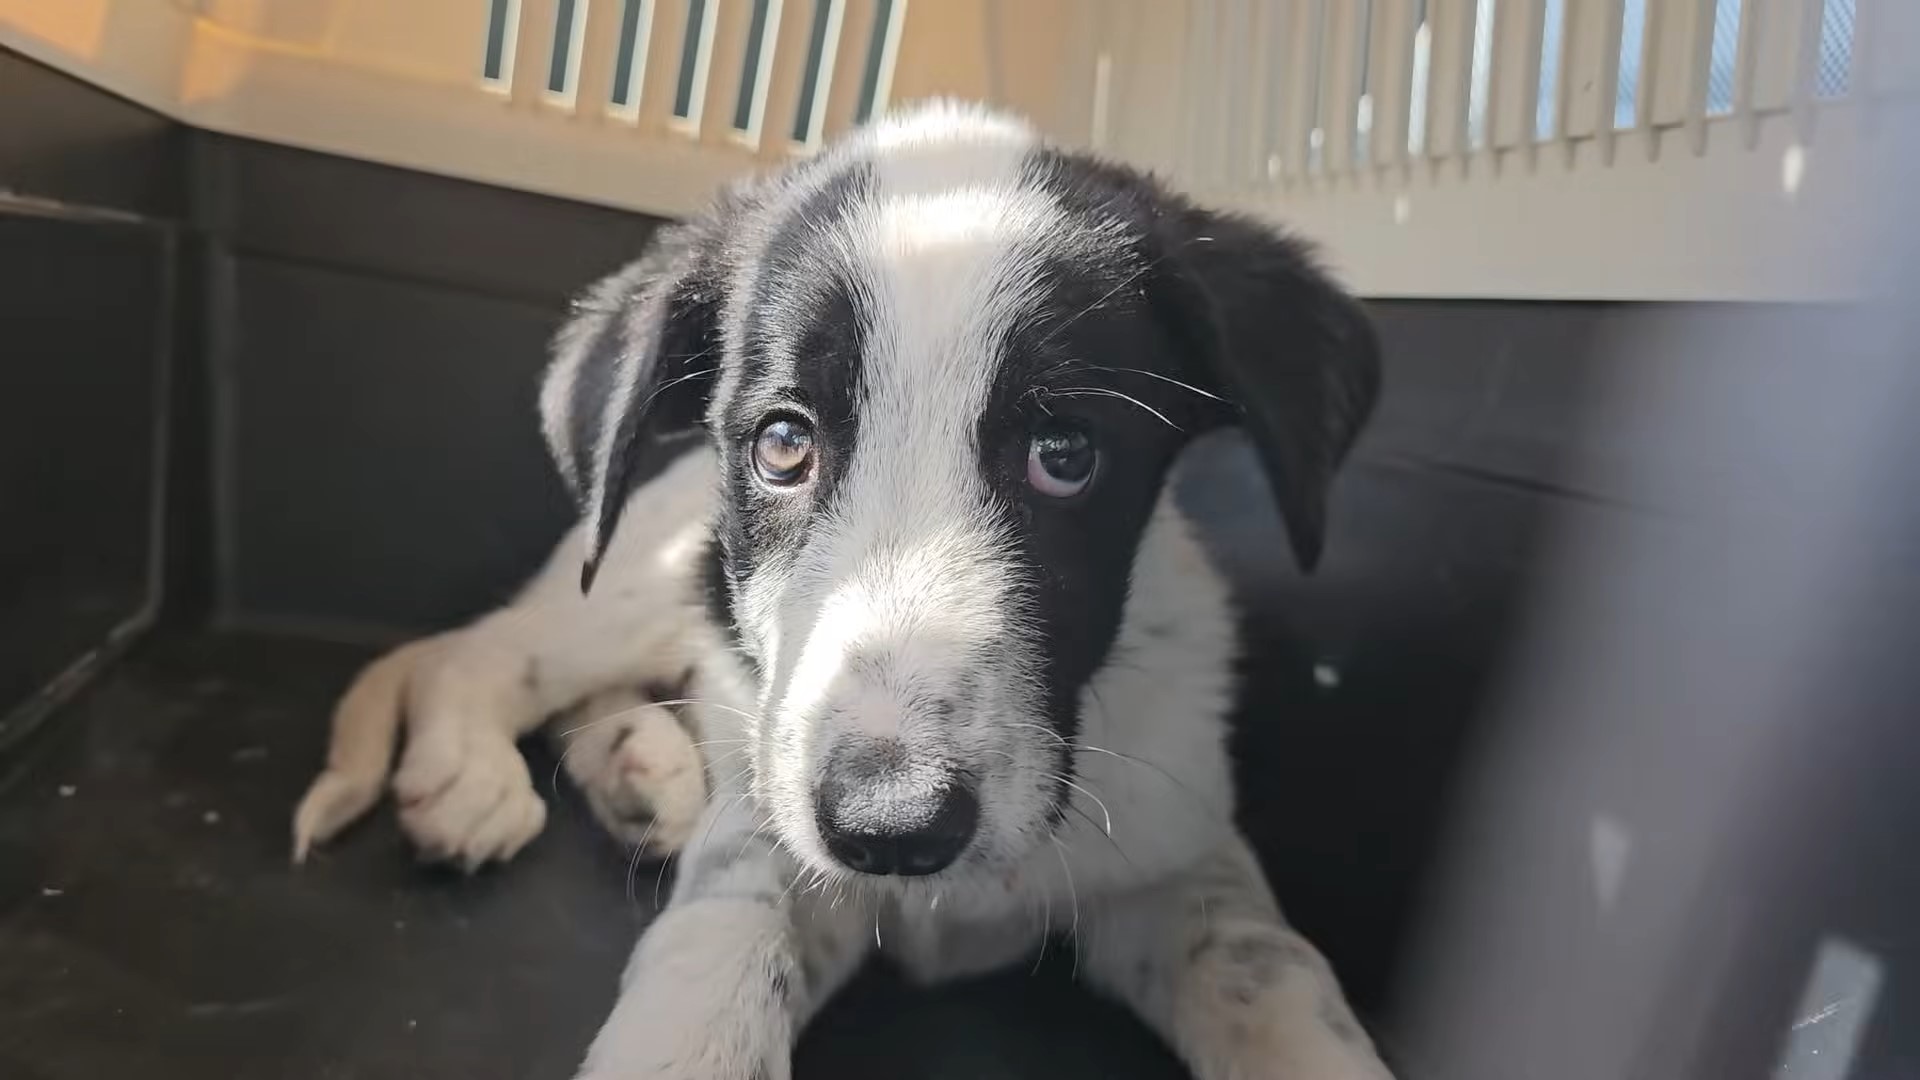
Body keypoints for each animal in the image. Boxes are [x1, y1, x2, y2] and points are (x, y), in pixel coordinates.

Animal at [291, 102, 1390, 1076]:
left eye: (1067, 455)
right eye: (784, 444)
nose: (892, 825)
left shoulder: (1182, 855)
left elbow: (1276, 974)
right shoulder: (769, 846)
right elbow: (714, 960)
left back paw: (641, 769)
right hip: (645, 581)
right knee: (483, 652)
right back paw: (474, 774)